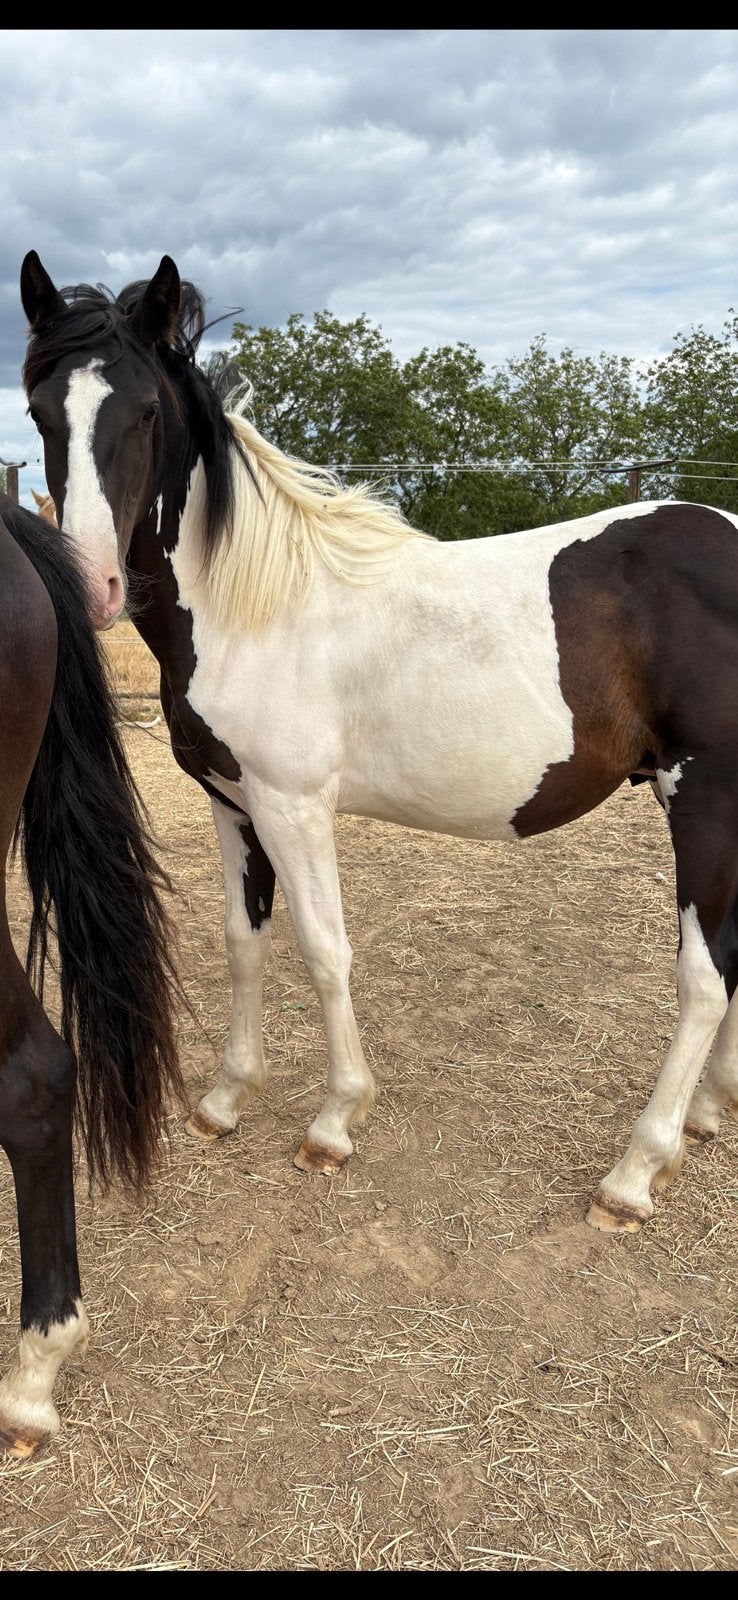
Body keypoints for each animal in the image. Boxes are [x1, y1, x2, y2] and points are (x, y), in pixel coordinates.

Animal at [19, 250, 738, 1241]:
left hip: (704, 800)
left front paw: (333, 1122)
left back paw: (634, 1174)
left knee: (705, 979)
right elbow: (246, 941)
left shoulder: (292, 807)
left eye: (147, 411)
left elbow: (326, 951)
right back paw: (707, 1114)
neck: (258, 608)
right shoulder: (233, 805)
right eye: (40, 411)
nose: (93, 585)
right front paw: (226, 1101)